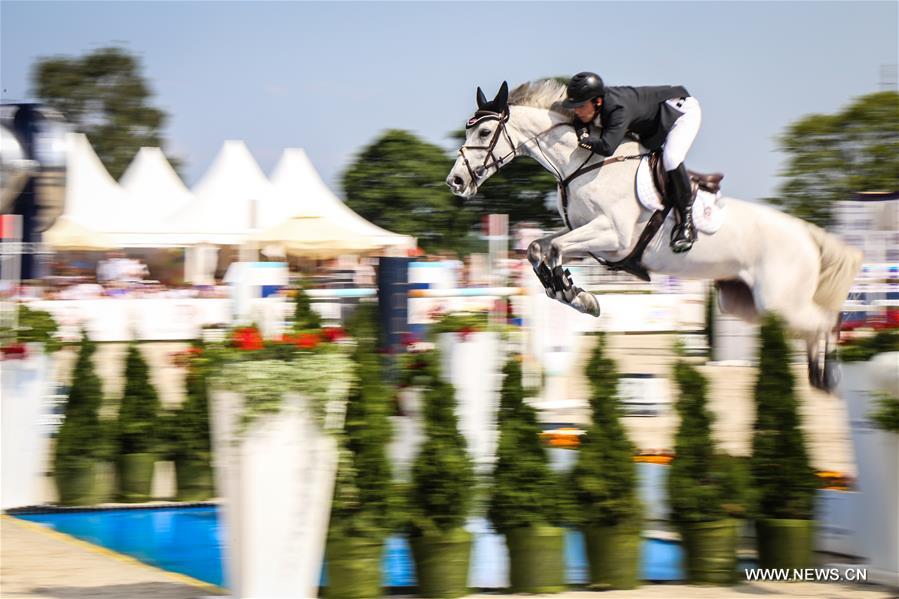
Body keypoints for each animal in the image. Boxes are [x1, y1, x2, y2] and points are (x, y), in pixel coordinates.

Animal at [446, 81, 860, 390]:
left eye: (485, 131)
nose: (456, 182)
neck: (583, 162)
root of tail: (805, 234)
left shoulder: (612, 237)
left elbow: (551, 248)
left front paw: (573, 292)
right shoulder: (584, 235)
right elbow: (539, 248)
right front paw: (576, 295)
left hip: (779, 300)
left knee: (826, 321)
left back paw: (830, 374)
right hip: (744, 303)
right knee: (813, 325)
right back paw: (819, 374)